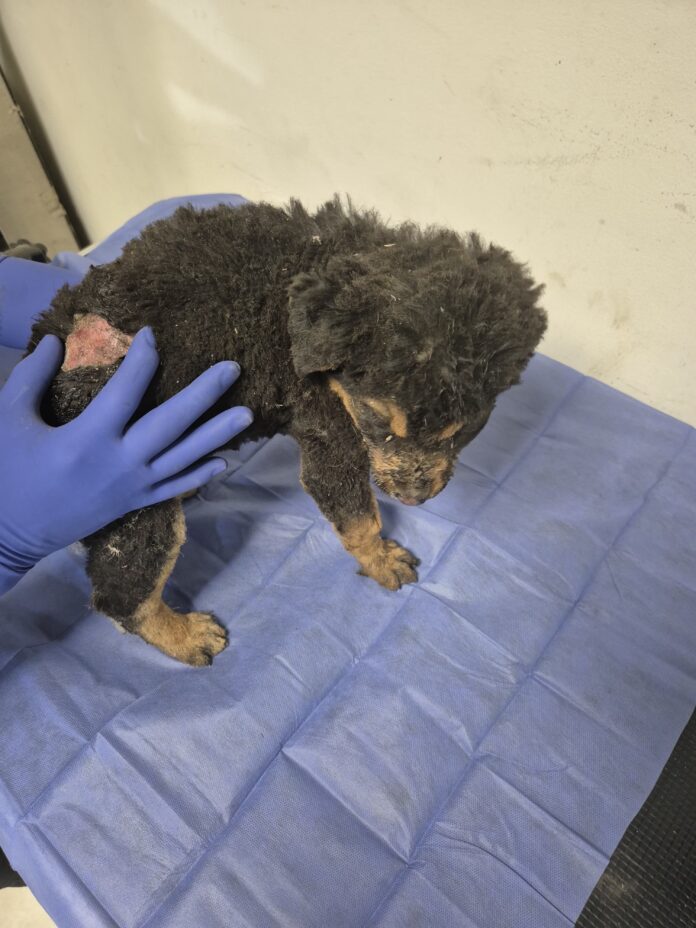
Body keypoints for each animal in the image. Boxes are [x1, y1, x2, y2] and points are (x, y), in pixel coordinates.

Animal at [29, 197, 547, 665]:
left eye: (467, 429)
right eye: (379, 421)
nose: (415, 497)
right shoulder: (332, 435)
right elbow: (361, 520)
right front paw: (382, 561)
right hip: (134, 500)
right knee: (120, 595)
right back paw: (184, 636)